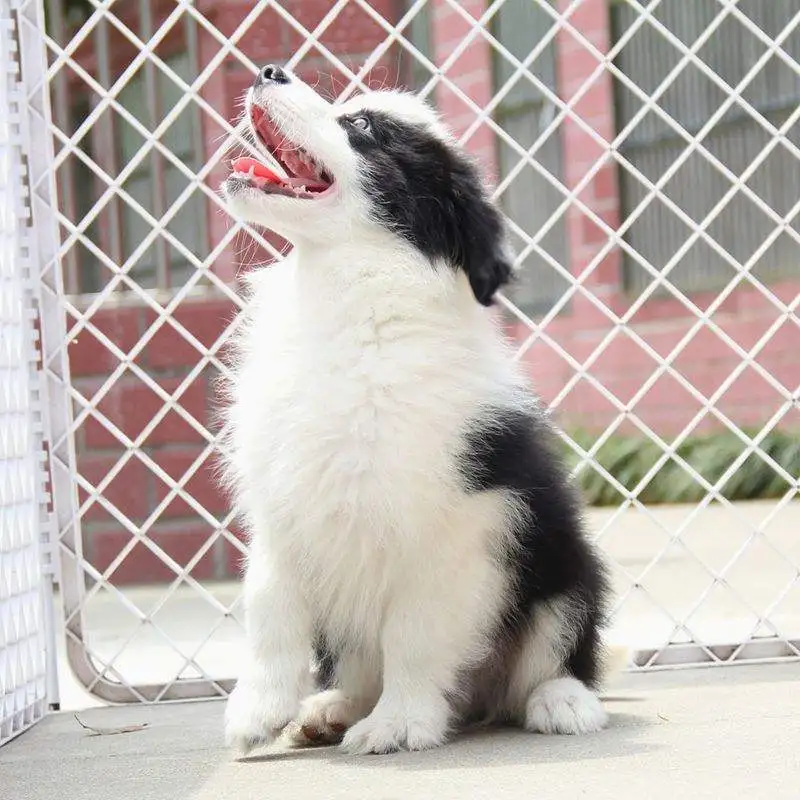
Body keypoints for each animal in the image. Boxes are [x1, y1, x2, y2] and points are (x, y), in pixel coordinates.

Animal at [220, 64, 612, 756]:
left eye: (363, 127)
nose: (269, 71)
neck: (348, 304)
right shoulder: (282, 509)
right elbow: (269, 609)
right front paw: (257, 710)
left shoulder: (455, 531)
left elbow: (415, 634)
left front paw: (401, 724)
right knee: (357, 665)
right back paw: (329, 710)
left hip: (567, 563)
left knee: (556, 650)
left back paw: (562, 702)